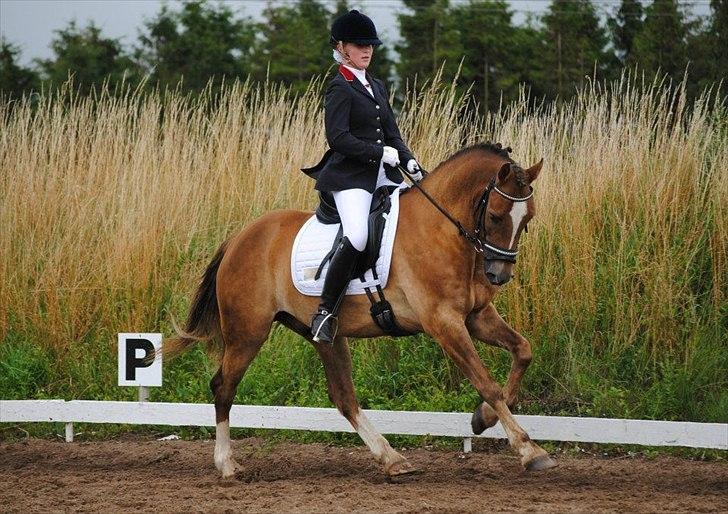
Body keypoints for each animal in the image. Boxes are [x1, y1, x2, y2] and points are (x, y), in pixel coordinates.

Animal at [166, 141, 552, 476]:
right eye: (497, 216)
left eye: (528, 219)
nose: (498, 275)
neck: (442, 228)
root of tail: (239, 238)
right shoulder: (444, 323)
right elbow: (486, 382)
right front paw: (529, 450)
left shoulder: (476, 317)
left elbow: (524, 351)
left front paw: (483, 418)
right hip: (247, 333)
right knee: (222, 387)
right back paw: (226, 465)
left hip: (325, 336)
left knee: (344, 398)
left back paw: (392, 459)